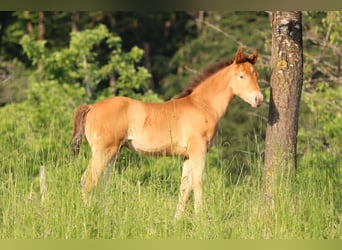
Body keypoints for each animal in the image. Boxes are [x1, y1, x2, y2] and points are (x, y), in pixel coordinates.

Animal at [70, 47, 264, 219]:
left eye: (256, 75)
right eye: (241, 76)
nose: (259, 99)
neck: (202, 106)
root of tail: (91, 106)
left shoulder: (187, 156)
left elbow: (185, 187)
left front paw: (176, 221)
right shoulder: (198, 150)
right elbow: (198, 181)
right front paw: (201, 219)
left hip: (112, 153)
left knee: (102, 184)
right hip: (104, 151)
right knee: (88, 181)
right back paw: (89, 216)